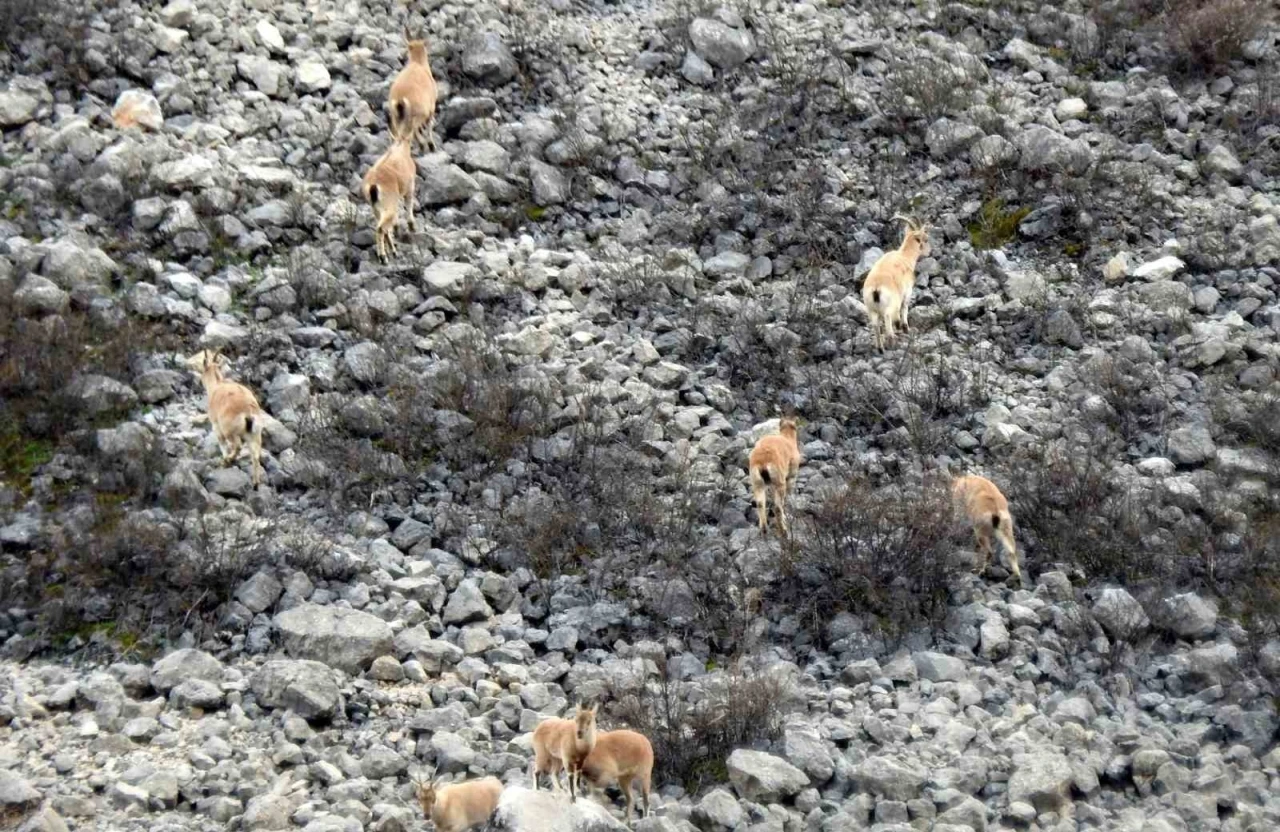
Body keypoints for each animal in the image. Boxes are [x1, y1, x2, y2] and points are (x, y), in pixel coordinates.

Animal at [860, 213, 931, 350]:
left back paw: (880, 348)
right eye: (925, 239)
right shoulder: (907, 292)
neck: (904, 257)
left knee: (876, 325)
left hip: (871, 309)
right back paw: (891, 341)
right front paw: (905, 328)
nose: (929, 251)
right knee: (888, 318)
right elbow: (904, 308)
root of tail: (876, 288)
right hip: (889, 306)